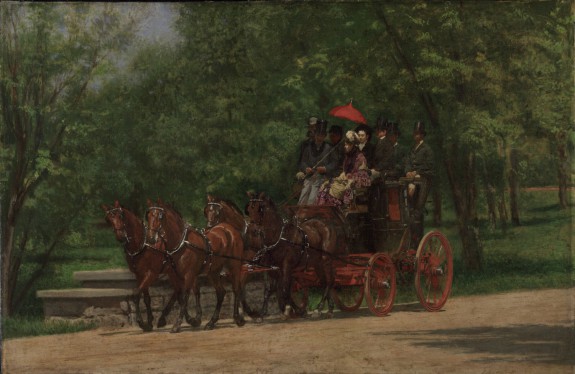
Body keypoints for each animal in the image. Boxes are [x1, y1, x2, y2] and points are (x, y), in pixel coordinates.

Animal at [99, 200, 189, 332]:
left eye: (121, 216)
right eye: (108, 219)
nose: (120, 236)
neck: (142, 244)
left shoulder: (151, 273)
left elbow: (136, 294)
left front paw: (141, 322)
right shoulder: (140, 274)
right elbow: (146, 298)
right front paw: (149, 322)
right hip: (172, 271)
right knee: (177, 291)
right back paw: (164, 318)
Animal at [145, 197, 246, 332]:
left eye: (160, 216)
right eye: (148, 215)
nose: (150, 238)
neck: (181, 244)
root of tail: (229, 228)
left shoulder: (189, 275)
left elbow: (186, 296)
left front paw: (178, 324)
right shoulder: (176, 276)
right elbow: (180, 296)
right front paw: (192, 320)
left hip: (234, 265)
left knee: (236, 289)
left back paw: (237, 318)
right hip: (213, 271)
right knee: (221, 292)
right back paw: (211, 322)